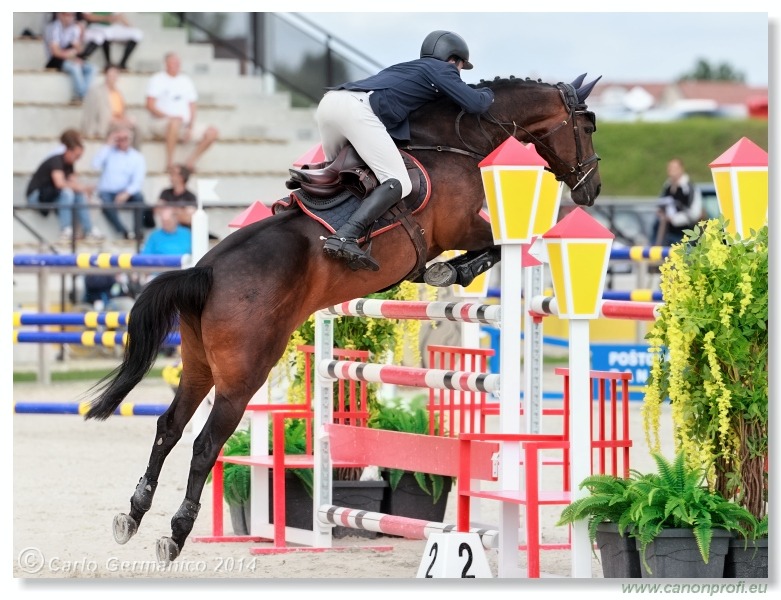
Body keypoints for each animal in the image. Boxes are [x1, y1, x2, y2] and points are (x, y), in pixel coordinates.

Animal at [84, 72, 596, 564]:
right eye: (588, 126)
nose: (591, 189)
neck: (456, 140)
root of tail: (204, 271)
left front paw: (449, 270)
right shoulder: (463, 225)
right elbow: (499, 244)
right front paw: (451, 270)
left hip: (199, 365)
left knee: (169, 427)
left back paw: (132, 515)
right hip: (242, 376)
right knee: (205, 443)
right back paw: (175, 533)